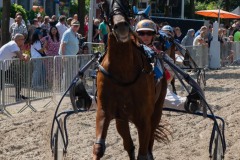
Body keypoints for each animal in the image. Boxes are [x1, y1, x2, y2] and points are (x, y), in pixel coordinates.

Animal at [92, 0, 169, 159]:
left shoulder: (144, 119)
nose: (121, 26)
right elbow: (98, 148)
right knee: (129, 145)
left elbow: (143, 153)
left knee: (150, 142)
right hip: (122, 118)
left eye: (126, 2)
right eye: (104, 3)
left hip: (157, 110)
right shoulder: (104, 111)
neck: (123, 72)